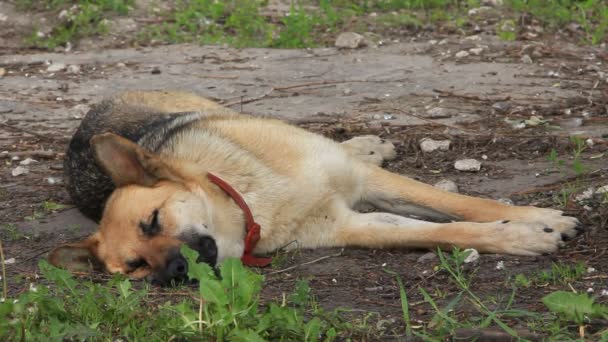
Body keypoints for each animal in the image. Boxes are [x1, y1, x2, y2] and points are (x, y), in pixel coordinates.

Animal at [48, 90, 580, 286]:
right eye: (136, 267)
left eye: (153, 220)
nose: (175, 272)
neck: (249, 202)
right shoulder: (355, 224)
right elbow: (448, 230)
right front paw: (520, 235)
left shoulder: (366, 181)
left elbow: (463, 203)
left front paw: (536, 219)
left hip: (214, 108)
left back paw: (366, 143)